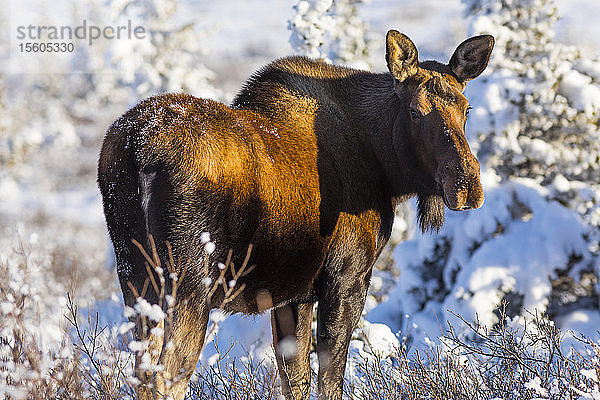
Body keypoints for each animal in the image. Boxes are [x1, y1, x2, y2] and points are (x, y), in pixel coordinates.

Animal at [97, 29, 492, 398]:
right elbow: (329, 381)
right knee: (166, 378)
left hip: (135, 278)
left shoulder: (293, 295)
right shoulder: (346, 279)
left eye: (467, 108)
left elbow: (296, 379)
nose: (466, 186)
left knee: (142, 372)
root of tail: (137, 155)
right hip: (190, 283)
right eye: (413, 109)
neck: (387, 171)